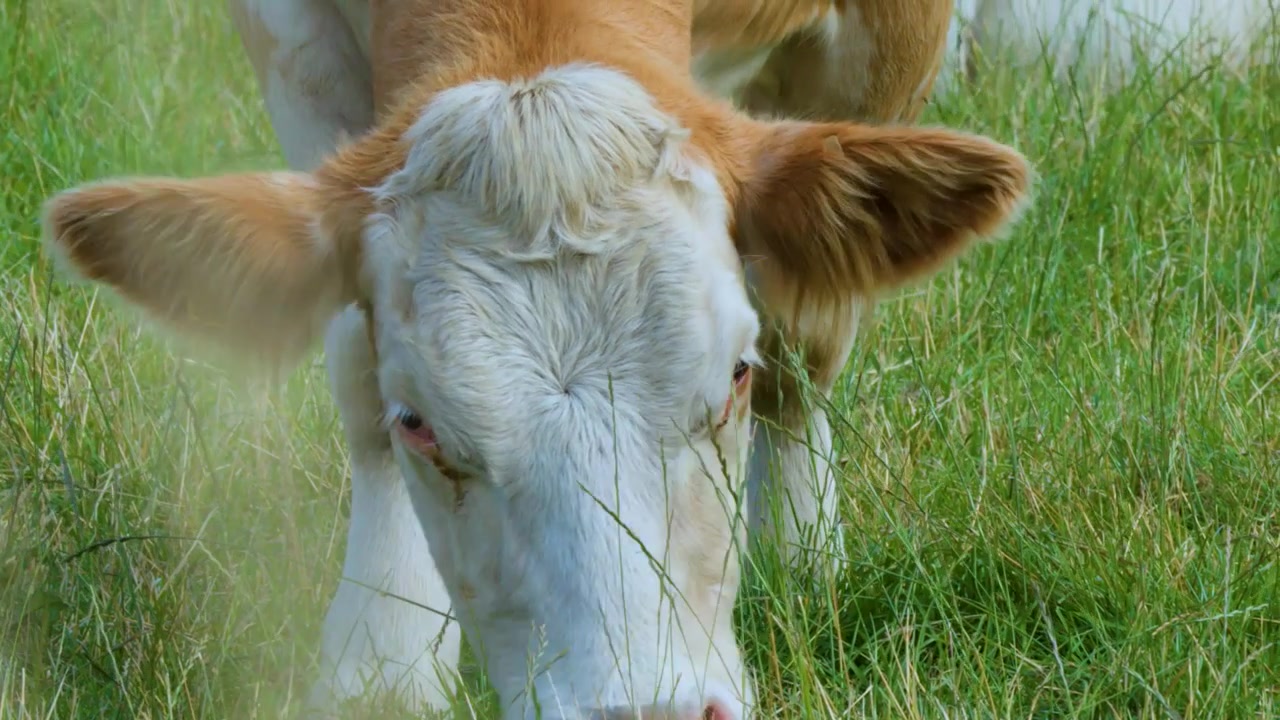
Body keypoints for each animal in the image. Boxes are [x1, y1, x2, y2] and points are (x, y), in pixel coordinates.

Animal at [38, 0, 1032, 717]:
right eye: (419, 424)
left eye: (733, 378)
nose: (646, 711)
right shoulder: (296, 47)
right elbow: (354, 359)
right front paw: (383, 662)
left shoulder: (891, 39)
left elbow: (805, 331)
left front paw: (802, 561)